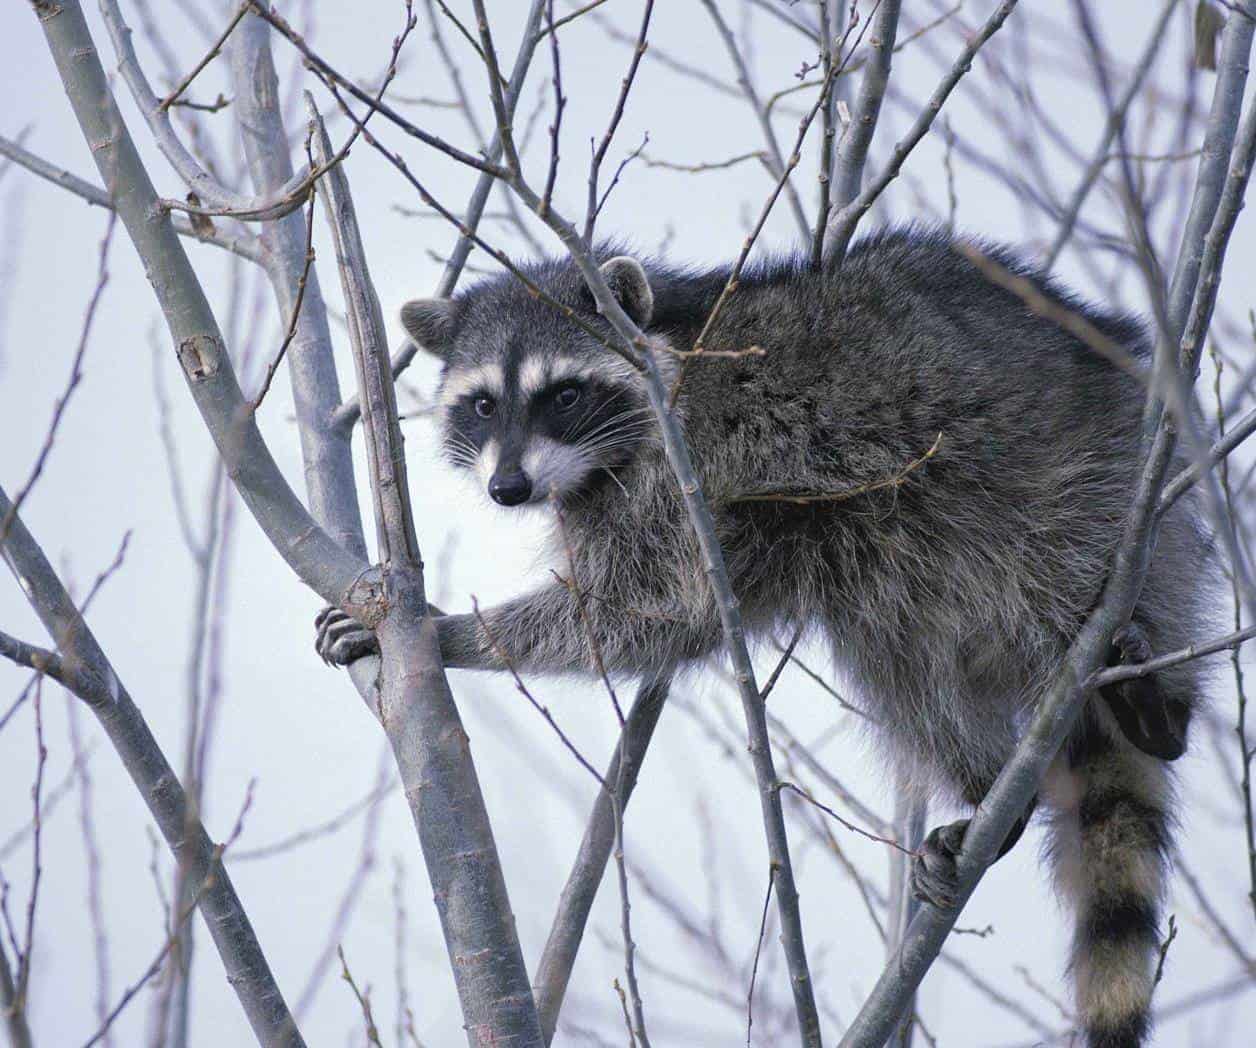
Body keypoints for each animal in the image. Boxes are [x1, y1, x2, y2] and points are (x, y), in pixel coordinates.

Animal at [314, 228, 1215, 1045]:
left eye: (562, 394)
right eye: (482, 404)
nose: (508, 488)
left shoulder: (685, 467)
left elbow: (638, 607)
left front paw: (452, 632)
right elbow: (658, 619)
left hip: (1077, 481)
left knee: (1058, 572)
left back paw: (1157, 705)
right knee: (894, 655)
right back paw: (992, 783)